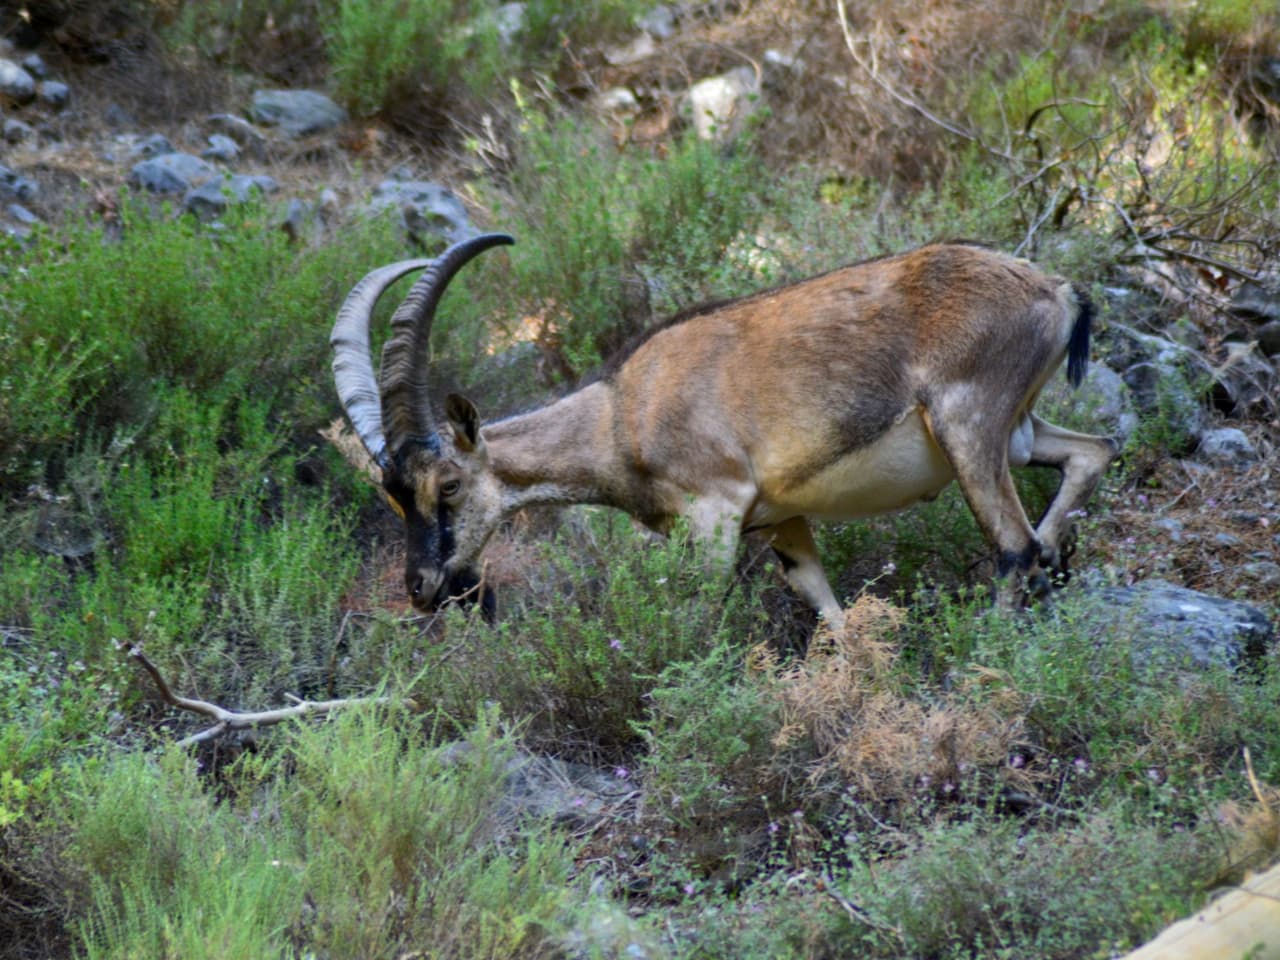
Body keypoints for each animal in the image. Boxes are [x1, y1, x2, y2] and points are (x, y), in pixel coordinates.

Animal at [332, 231, 1121, 624]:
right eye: (393, 493)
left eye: (449, 484)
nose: (423, 587)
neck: (622, 413)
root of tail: (1056, 291)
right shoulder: (780, 520)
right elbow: (825, 608)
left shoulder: (714, 513)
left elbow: (696, 618)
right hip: (1017, 430)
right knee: (1093, 452)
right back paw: (1059, 563)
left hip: (969, 424)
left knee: (1013, 547)